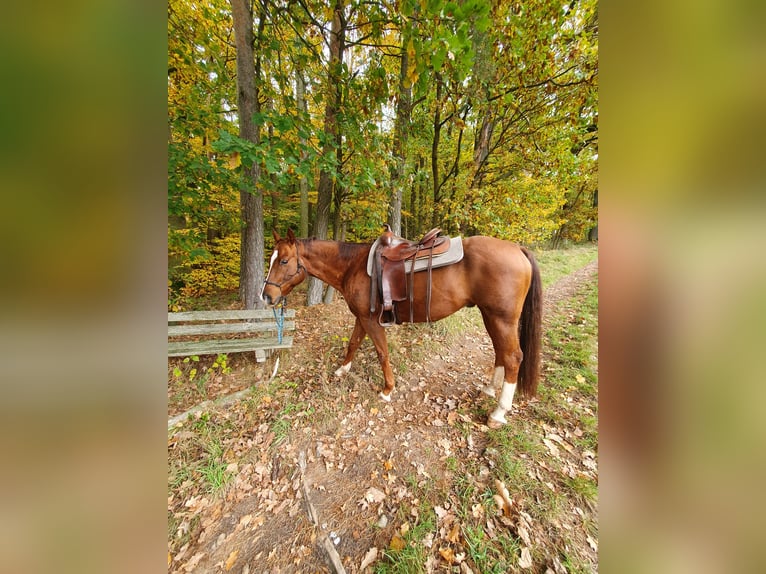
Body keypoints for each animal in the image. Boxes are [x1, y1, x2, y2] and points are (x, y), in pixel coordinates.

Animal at [260, 230, 544, 428]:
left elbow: (382, 353)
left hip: (501, 318)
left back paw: (498, 412)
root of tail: (517, 248)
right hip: (490, 316)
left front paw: (387, 390)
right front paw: (342, 369)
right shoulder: (361, 317)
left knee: (513, 357)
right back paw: (489, 389)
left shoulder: (372, 321)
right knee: (500, 352)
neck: (352, 265)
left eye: (283, 261)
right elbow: (353, 343)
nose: (266, 296)